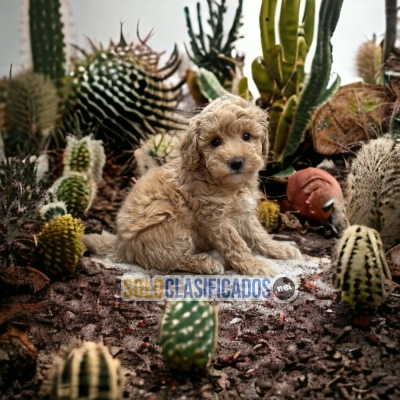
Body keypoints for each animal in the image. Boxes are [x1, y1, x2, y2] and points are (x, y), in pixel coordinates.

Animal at [85, 94, 304, 276]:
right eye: (215, 142)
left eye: (247, 136)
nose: (236, 162)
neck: (227, 184)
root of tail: (120, 244)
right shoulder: (215, 218)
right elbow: (237, 245)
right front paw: (255, 266)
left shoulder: (244, 212)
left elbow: (259, 234)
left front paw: (278, 249)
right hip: (170, 226)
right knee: (173, 259)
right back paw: (206, 263)